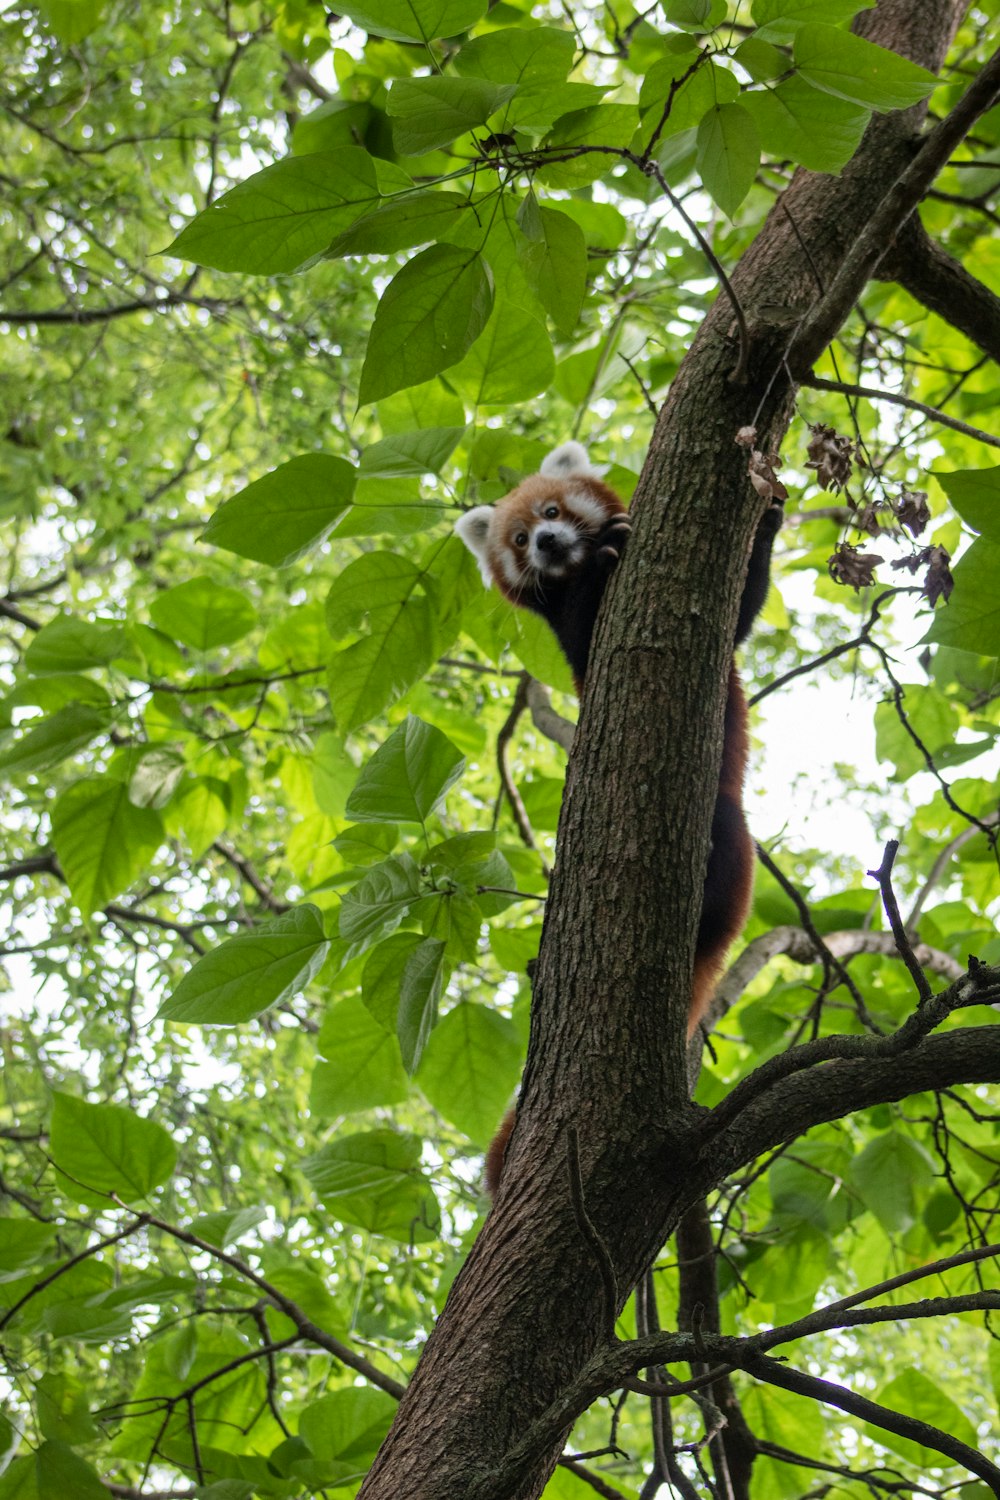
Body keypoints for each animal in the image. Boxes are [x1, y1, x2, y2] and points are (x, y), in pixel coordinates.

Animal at [455, 438, 779, 1188]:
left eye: (550, 512)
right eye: (519, 540)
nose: (548, 543)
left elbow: (739, 613)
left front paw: (771, 514)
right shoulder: (573, 633)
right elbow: (582, 631)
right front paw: (601, 560)